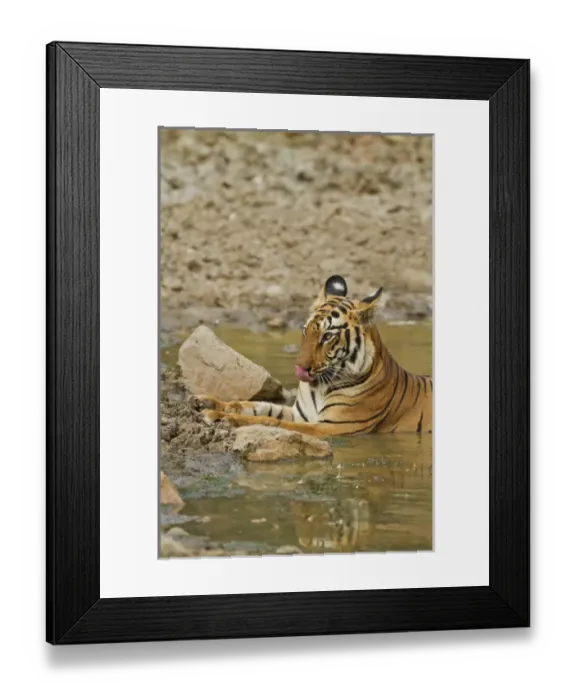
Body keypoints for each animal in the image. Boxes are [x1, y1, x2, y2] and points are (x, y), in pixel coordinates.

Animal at [200, 275, 432, 436]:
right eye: (305, 330)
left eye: (327, 336)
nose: (299, 368)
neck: (319, 387)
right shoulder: (300, 414)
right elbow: (260, 407)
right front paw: (207, 403)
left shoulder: (329, 427)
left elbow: (271, 421)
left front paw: (220, 417)